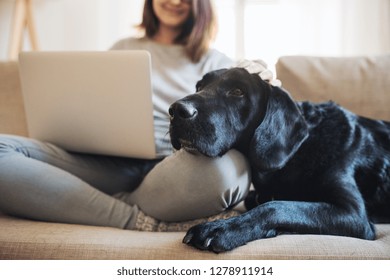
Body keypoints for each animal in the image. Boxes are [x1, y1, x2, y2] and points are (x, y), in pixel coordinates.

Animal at [169, 67, 390, 252]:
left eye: (238, 92)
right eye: (199, 86)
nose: (176, 111)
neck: (298, 152)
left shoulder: (353, 213)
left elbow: (276, 206)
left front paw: (221, 229)